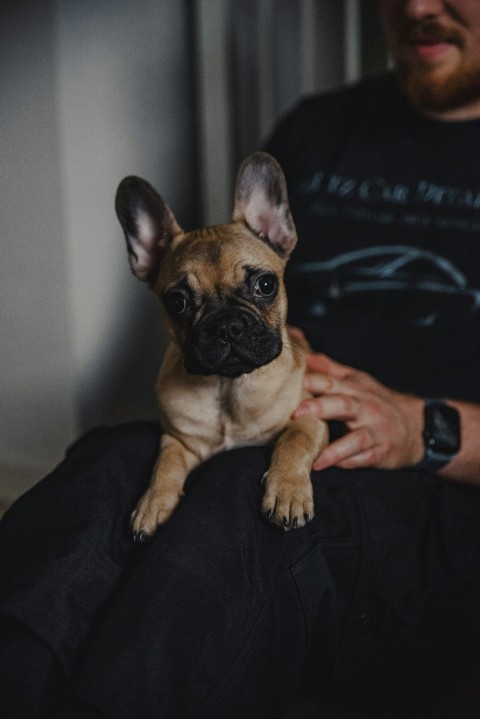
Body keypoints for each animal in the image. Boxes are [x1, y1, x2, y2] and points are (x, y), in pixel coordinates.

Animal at [115, 150, 328, 540]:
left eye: (265, 285)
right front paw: (153, 504)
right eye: (178, 302)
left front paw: (287, 493)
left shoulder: (311, 417)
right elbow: (164, 465)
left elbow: (294, 442)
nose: (227, 326)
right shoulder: (178, 440)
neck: (228, 386)